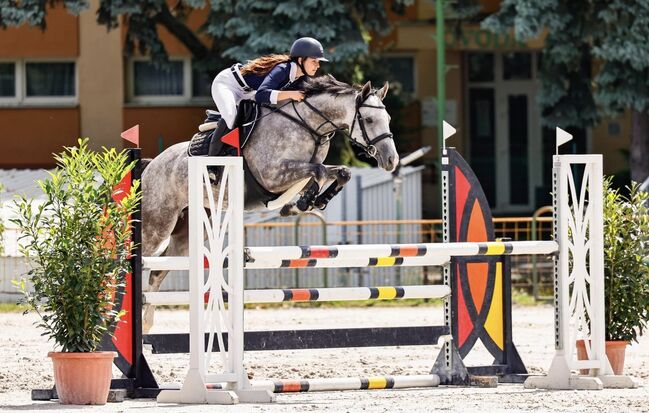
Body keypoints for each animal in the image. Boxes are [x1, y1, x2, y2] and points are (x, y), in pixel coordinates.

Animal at [139, 75, 398, 332]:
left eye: (388, 119)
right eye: (369, 119)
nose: (391, 160)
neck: (308, 125)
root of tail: (151, 165)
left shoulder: (295, 175)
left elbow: (340, 172)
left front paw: (308, 202)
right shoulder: (273, 176)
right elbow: (319, 171)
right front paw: (302, 203)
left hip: (191, 230)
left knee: (158, 271)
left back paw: (146, 324)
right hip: (157, 225)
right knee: (143, 257)